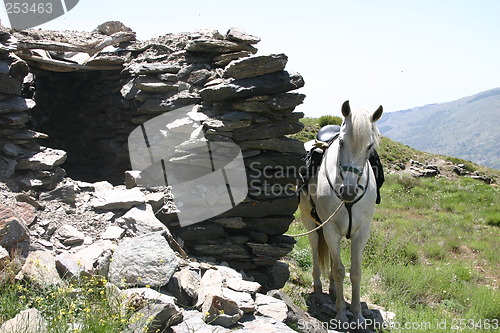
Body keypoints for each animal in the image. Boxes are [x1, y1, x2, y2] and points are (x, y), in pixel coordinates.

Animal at [300, 100, 382, 324]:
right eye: (342, 142)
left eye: (370, 146)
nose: (348, 191)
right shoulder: (330, 229)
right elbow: (338, 270)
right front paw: (342, 313)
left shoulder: (362, 232)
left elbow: (355, 272)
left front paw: (358, 314)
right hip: (310, 222)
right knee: (314, 247)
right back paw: (318, 285)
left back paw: (334, 290)